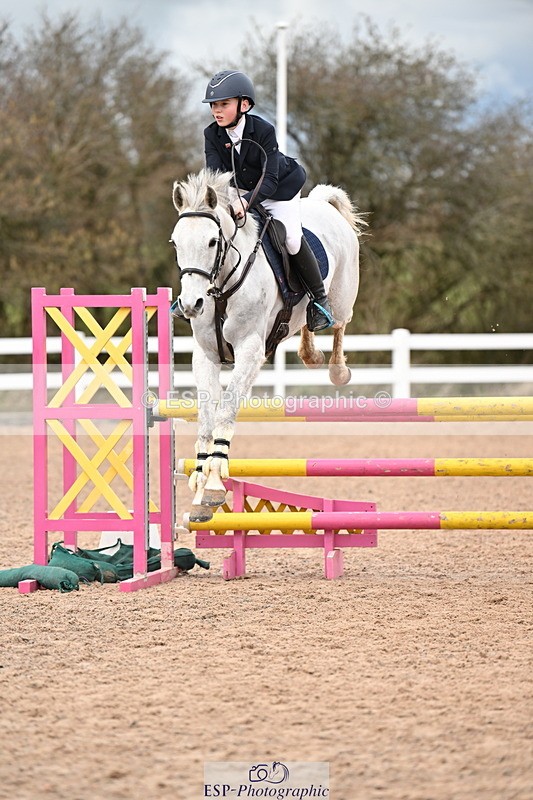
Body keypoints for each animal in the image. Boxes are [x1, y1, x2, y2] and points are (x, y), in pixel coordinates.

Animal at [169, 168, 367, 521]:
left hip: (344, 295)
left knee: (338, 323)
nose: (191, 304)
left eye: (212, 241)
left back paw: (336, 369)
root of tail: (322, 203)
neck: (222, 285)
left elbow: (226, 409)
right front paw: (200, 483)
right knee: (307, 323)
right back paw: (310, 353)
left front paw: (215, 483)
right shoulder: (206, 355)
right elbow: (206, 414)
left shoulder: (250, 351)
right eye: (175, 242)